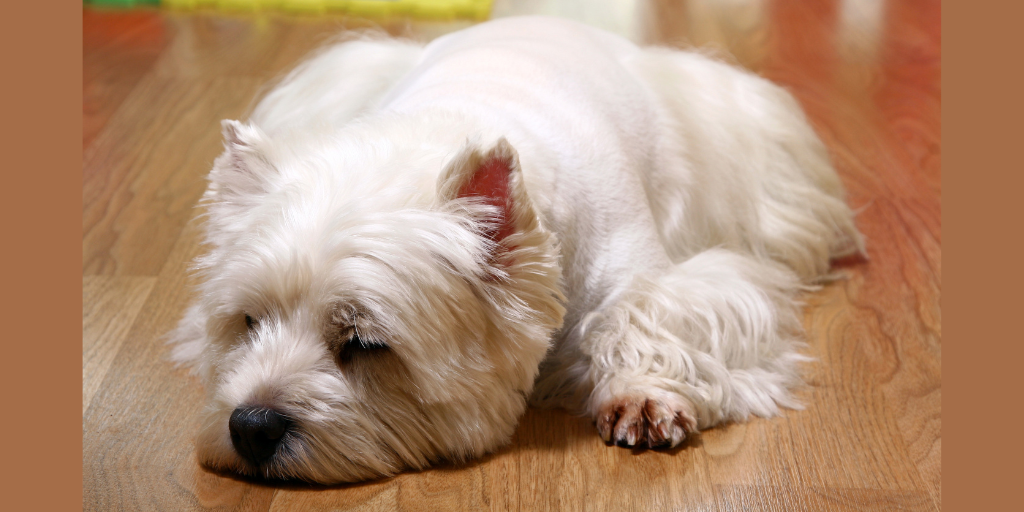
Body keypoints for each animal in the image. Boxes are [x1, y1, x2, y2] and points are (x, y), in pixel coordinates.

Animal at [169, 17, 864, 483]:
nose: (251, 427)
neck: (460, 116)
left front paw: (642, 396)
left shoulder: (649, 273)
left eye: (365, 344)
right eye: (248, 321)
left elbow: (644, 313)